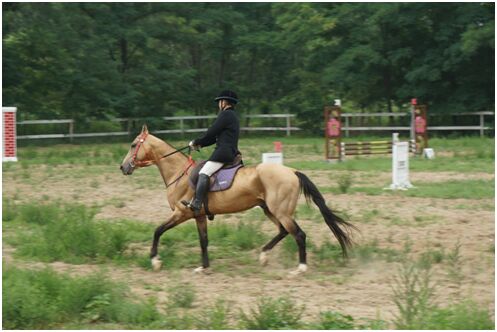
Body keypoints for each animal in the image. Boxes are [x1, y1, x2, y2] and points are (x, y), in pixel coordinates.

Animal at [119, 125, 352, 274]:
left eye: (133, 145)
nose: (123, 167)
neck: (179, 173)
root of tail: (292, 171)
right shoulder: (198, 216)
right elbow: (203, 241)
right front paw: (204, 267)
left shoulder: (181, 213)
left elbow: (157, 230)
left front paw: (155, 261)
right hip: (270, 210)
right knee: (284, 231)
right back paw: (264, 255)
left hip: (281, 211)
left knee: (299, 234)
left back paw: (300, 268)